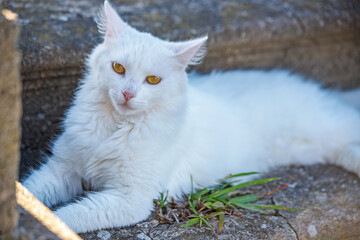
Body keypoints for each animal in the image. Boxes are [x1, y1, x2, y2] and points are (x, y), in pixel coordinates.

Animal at [23, 0, 360, 232]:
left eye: (153, 80)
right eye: (118, 68)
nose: (128, 94)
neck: (114, 127)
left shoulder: (129, 198)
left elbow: (65, 216)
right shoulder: (62, 170)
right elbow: (32, 192)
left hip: (327, 126)